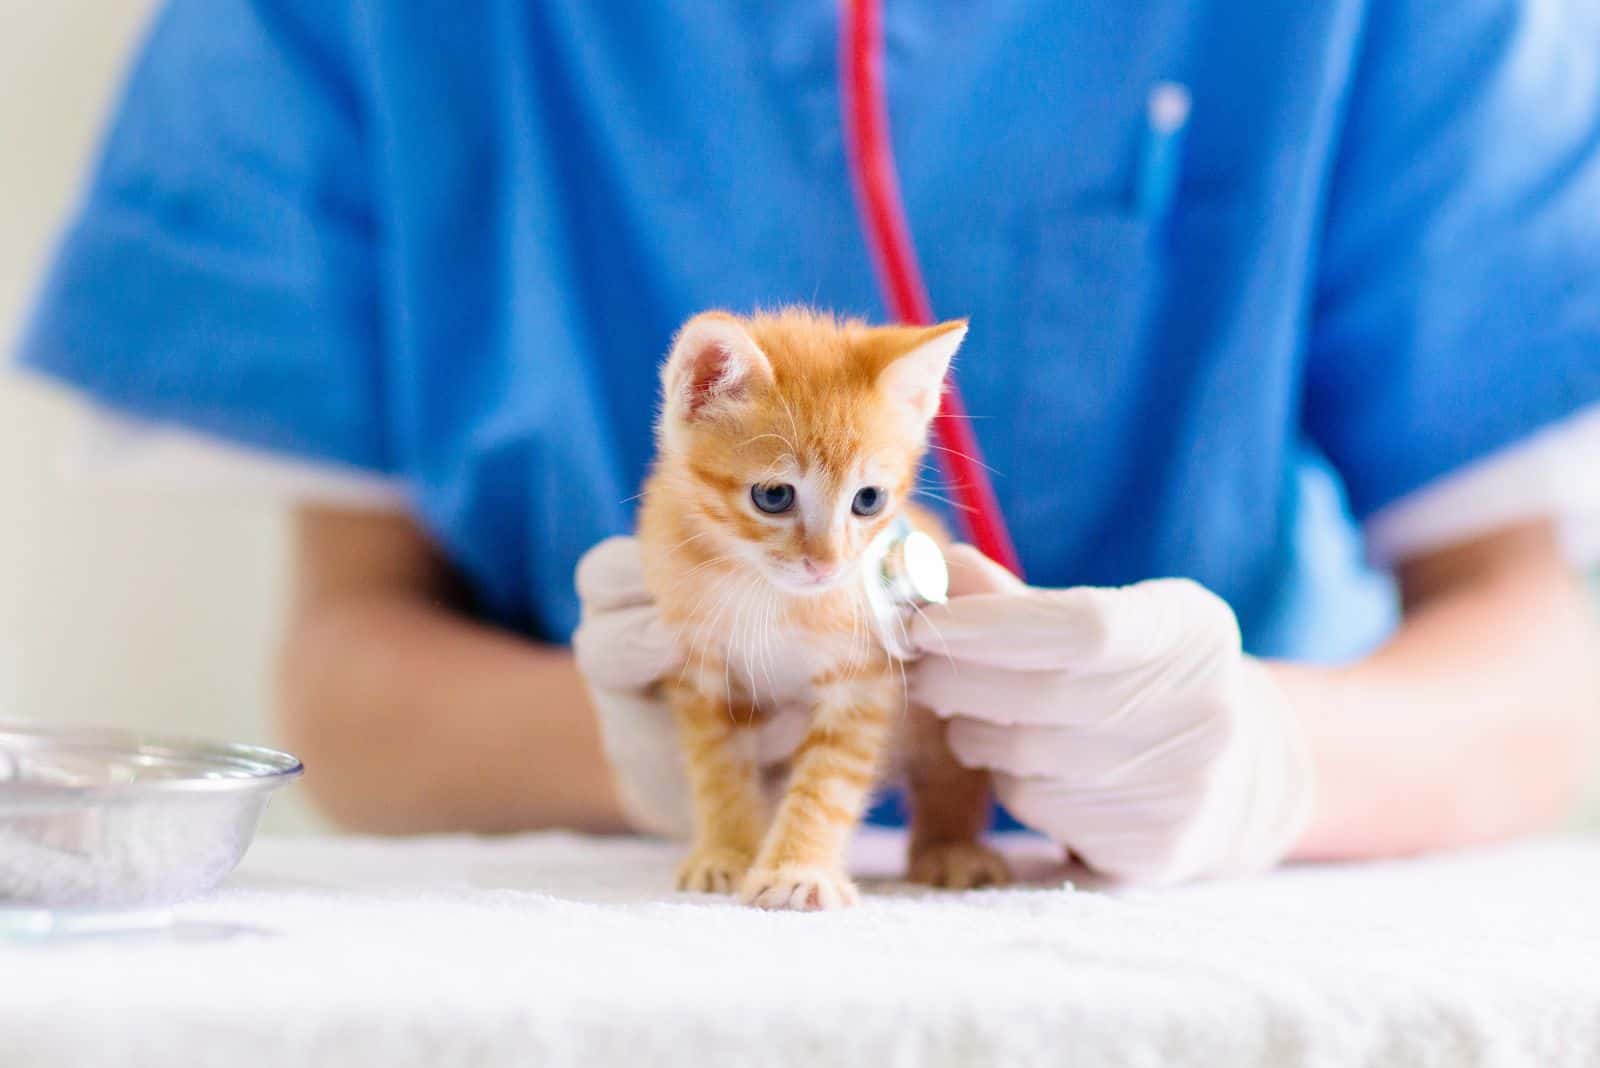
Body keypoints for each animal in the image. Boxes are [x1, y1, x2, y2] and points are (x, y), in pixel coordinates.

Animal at [636, 306, 1011, 908]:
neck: (772, 595)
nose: (827, 565)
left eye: (868, 500)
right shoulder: (699, 666)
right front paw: (727, 852)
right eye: (773, 496)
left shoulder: (866, 675)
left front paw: (798, 868)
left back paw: (951, 848)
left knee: (949, 774)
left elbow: (828, 780)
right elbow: (717, 767)